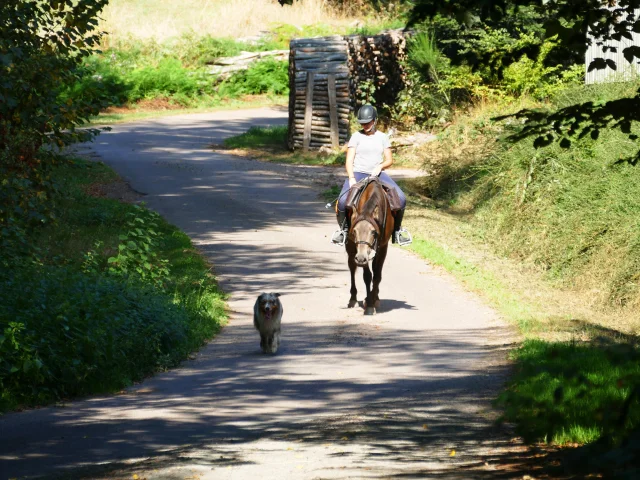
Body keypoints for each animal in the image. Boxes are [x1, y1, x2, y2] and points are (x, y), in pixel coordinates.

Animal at [344, 178, 396, 316]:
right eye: (354, 231)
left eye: (373, 232)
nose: (361, 258)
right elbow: (367, 276)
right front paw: (369, 305)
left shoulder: (382, 247)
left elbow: (377, 275)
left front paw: (373, 300)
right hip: (351, 248)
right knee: (352, 267)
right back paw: (353, 299)